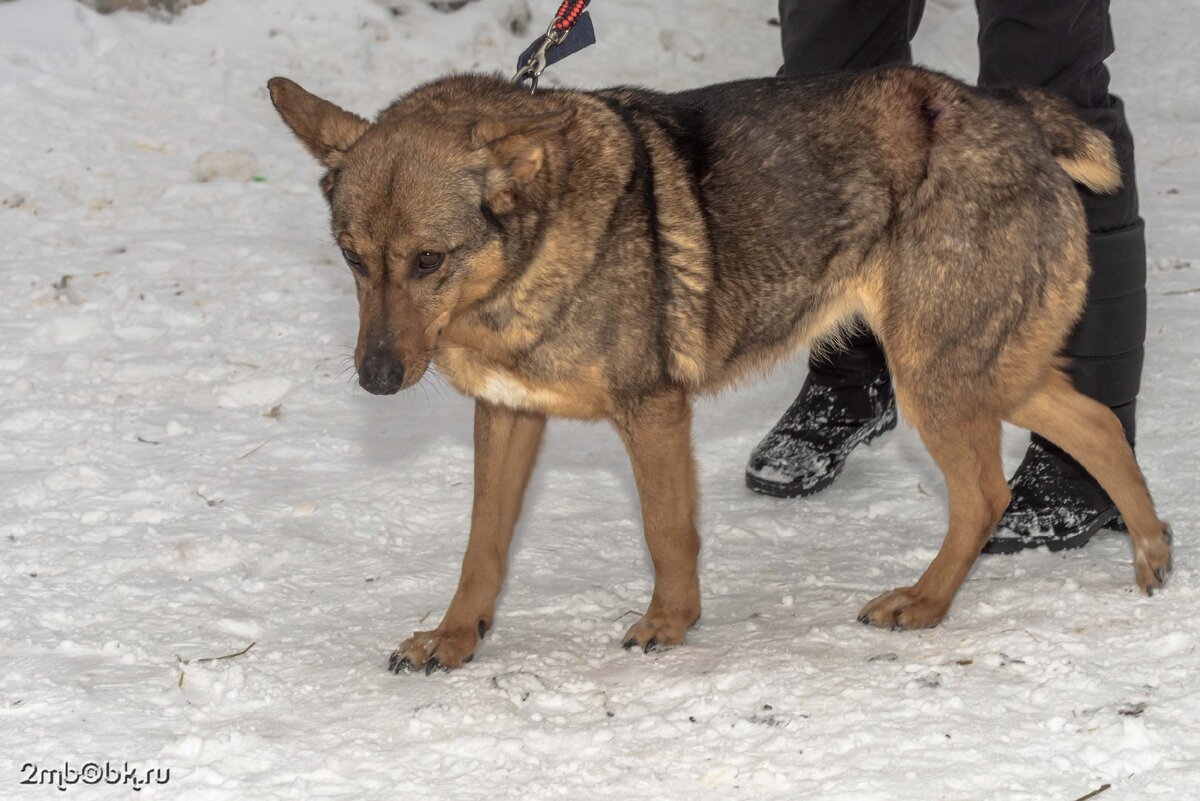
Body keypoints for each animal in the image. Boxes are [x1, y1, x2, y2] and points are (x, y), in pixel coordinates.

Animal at [270, 65, 1171, 671]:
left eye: (428, 260)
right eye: (352, 258)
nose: (375, 378)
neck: (519, 266)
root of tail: (1012, 109)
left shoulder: (653, 409)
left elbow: (667, 530)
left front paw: (670, 622)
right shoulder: (509, 415)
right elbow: (481, 546)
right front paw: (456, 636)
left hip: (937, 378)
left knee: (986, 493)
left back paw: (925, 601)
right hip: (987, 370)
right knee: (1097, 423)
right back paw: (1151, 550)